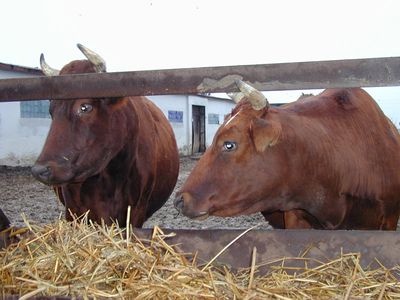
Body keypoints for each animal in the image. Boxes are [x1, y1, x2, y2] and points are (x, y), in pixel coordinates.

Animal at [32, 44, 179, 227]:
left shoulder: (136, 212)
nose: (40, 170)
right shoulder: (73, 211)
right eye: (51, 110)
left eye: (85, 107)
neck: (110, 178)